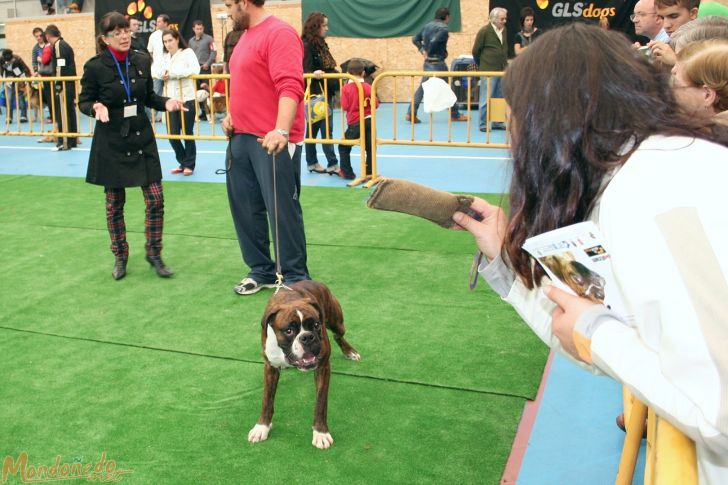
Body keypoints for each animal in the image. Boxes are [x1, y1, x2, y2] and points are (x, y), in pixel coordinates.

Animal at [247, 280, 362, 450]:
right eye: (288, 330)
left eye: (316, 325)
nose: (307, 337)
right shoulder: (270, 367)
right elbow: (267, 400)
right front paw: (262, 427)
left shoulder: (322, 367)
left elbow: (321, 403)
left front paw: (321, 433)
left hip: (336, 322)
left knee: (338, 335)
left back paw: (350, 351)